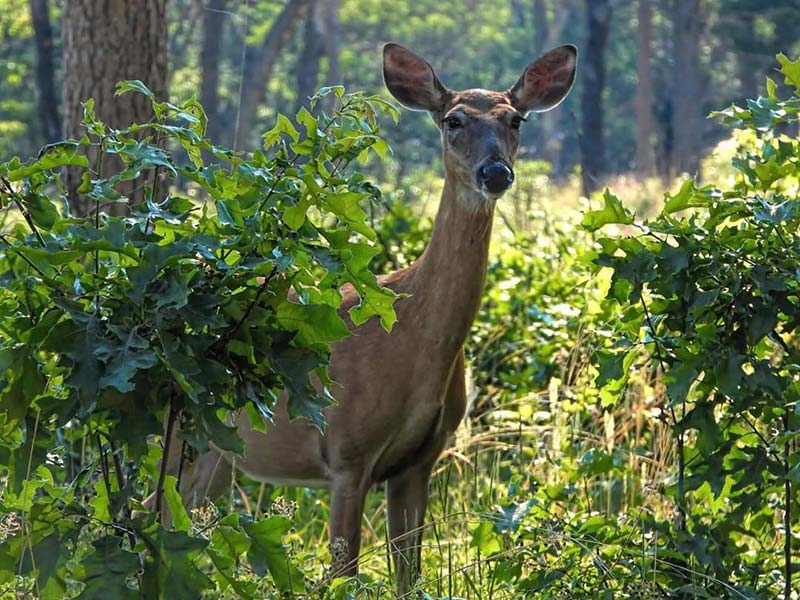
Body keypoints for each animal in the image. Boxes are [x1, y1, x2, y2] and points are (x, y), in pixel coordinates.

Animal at [155, 43, 576, 596]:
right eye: (453, 120)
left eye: (515, 120)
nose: (496, 173)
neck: (415, 340)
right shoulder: (346, 453)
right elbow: (343, 574)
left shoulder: (419, 463)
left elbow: (409, 576)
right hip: (168, 424)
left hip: (218, 453)